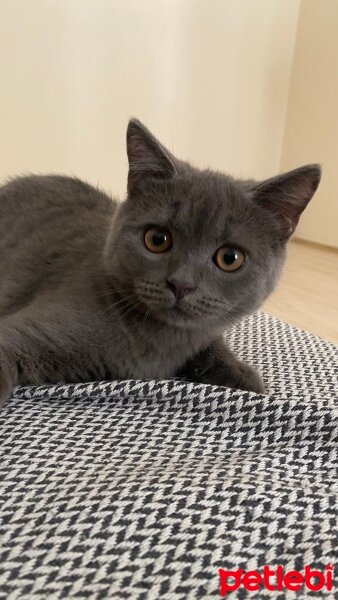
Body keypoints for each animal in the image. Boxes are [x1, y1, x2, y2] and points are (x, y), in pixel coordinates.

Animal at [0, 118, 320, 404]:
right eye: (157, 239)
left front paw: (247, 379)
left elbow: (212, 343)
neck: (162, 342)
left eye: (230, 258)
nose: (180, 284)